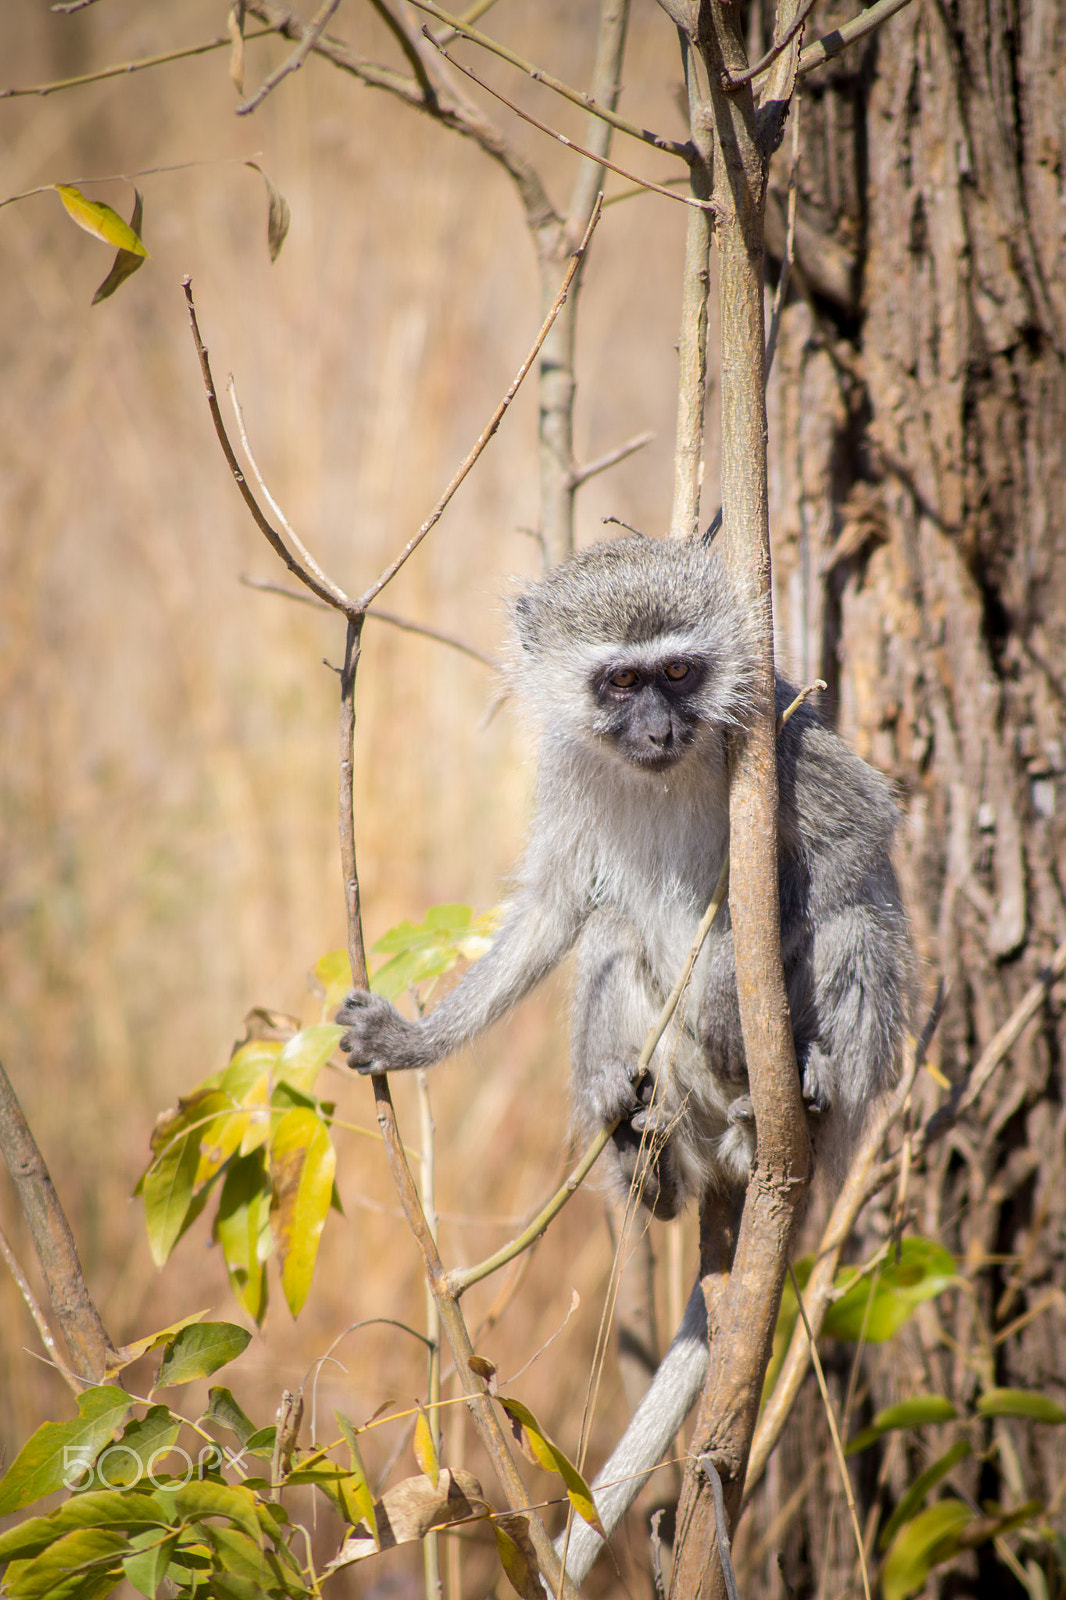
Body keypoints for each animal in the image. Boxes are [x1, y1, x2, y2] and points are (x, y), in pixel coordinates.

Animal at [337, 534, 902, 1574]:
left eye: (679, 674)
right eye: (622, 681)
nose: (657, 727)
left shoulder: (782, 738)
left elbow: (854, 848)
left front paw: (727, 984)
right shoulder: (571, 776)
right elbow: (556, 910)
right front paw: (413, 1040)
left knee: (855, 929)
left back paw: (796, 1091)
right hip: (680, 1092)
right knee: (609, 932)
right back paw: (643, 1158)